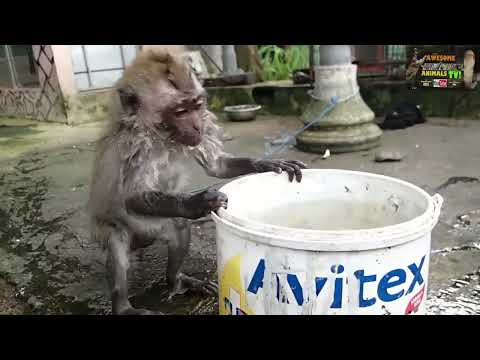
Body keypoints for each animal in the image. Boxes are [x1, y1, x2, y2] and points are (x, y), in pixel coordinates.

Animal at [89, 45, 308, 316]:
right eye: (180, 111)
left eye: (196, 105)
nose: (196, 126)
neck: (163, 137)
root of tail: (143, 241)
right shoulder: (136, 146)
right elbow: (132, 197)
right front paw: (197, 203)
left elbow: (216, 166)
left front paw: (267, 164)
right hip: (116, 228)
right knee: (118, 246)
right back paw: (123, 307)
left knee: (179, 227)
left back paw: (176, 280)